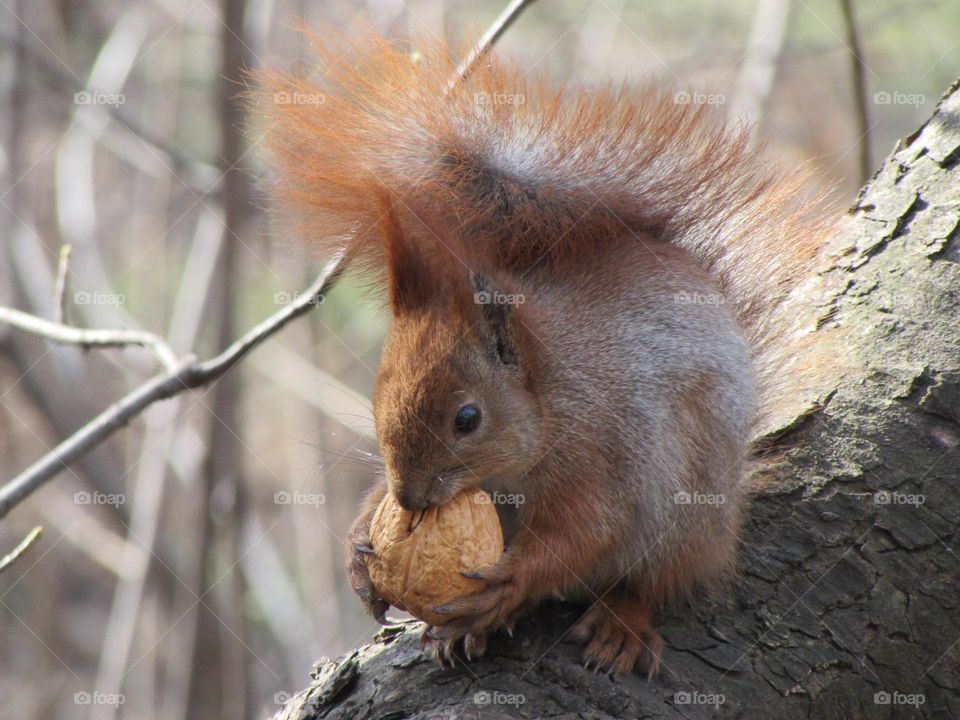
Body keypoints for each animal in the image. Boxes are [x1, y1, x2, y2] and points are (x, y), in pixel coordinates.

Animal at [255, 28, 832, 676]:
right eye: (375, 398)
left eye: (467, 418)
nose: (408, 497)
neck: (546, 400)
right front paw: (361, 545)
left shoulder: (601, 449)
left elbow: (587, 533)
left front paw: (510, 584)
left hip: (689, 503)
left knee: (653, 579)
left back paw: (619, 624)